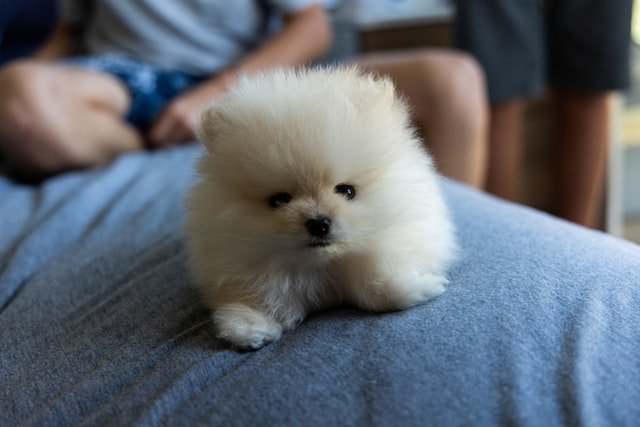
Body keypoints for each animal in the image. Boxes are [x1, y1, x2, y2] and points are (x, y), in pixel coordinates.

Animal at [184, 65, 456, 350]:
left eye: (346, 190)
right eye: (278, 200)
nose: (319, 222)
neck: (322, 267)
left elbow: (374, 284)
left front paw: (418, 286)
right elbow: (256, 298)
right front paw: (250, 326)